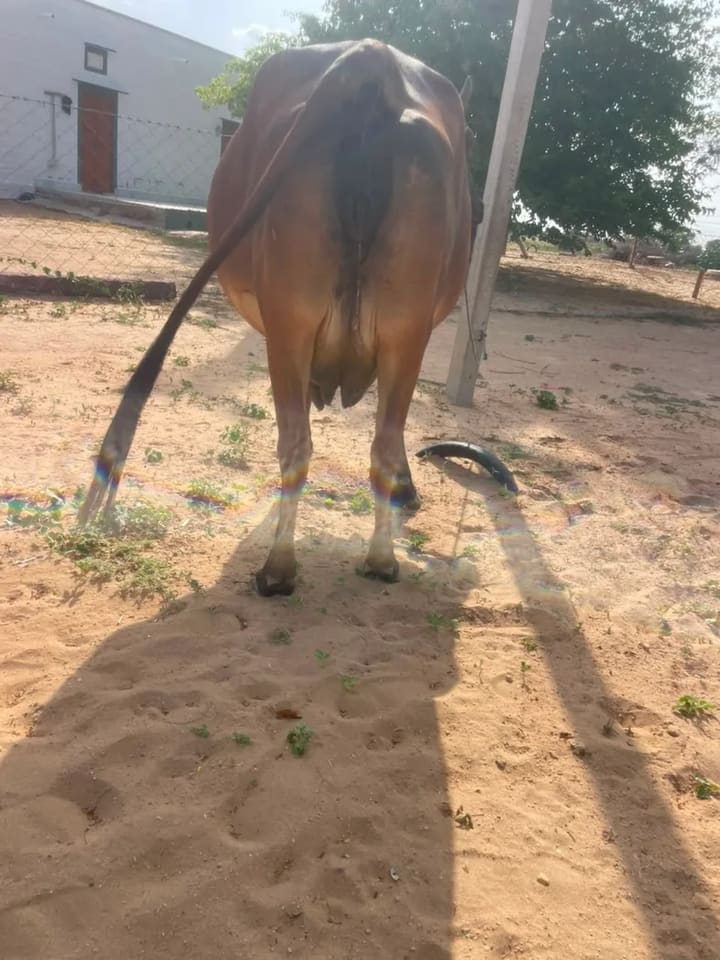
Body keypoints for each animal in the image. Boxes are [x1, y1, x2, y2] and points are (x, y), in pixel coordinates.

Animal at [78, 39, 473, 597]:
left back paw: (281, 567)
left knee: (301, 445)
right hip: (397, 332)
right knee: (374, 446)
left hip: (295, 326)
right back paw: (375, 559)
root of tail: (372, 59)